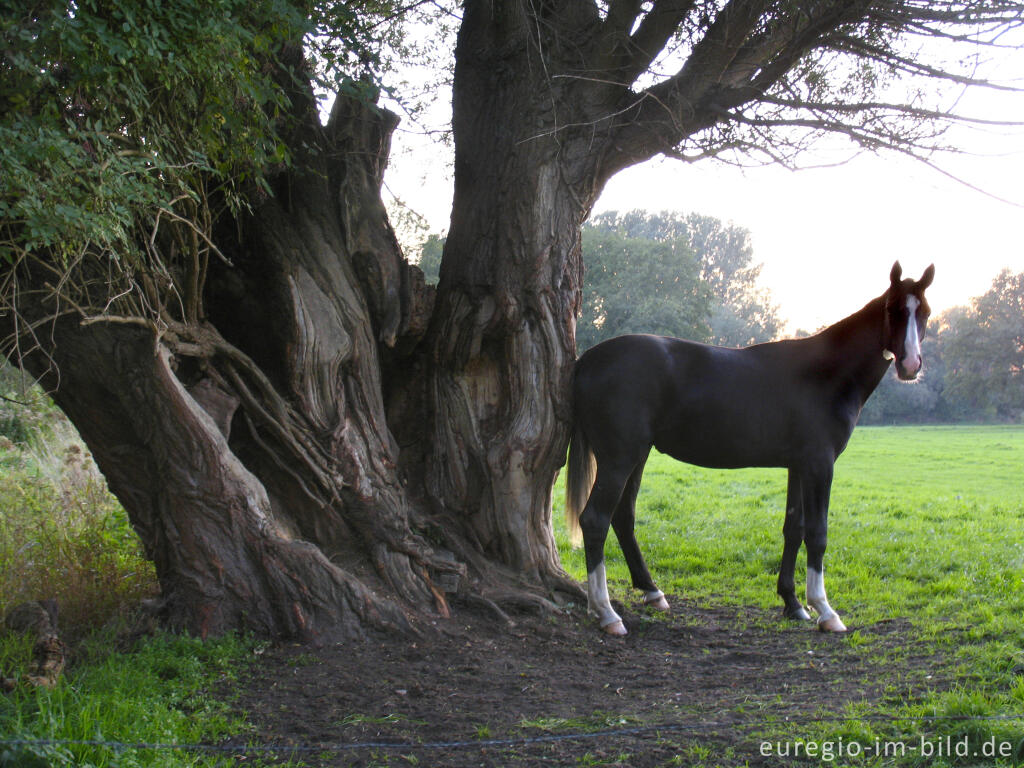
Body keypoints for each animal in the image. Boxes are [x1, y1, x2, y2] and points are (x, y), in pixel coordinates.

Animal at [569, 264, 937, 638]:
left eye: (924, 312)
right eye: (892, 309)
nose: (910, 364)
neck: (825, 374)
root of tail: (587, 360)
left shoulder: (798, 466)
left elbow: (794, 528)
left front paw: (792, 603)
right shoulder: (820, 464)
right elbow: (817, 533)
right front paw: (824, 609)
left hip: (637, 455)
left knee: (622, 517)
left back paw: (651, 591)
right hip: (619, 458)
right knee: (595, 520)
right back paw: (606, 611)